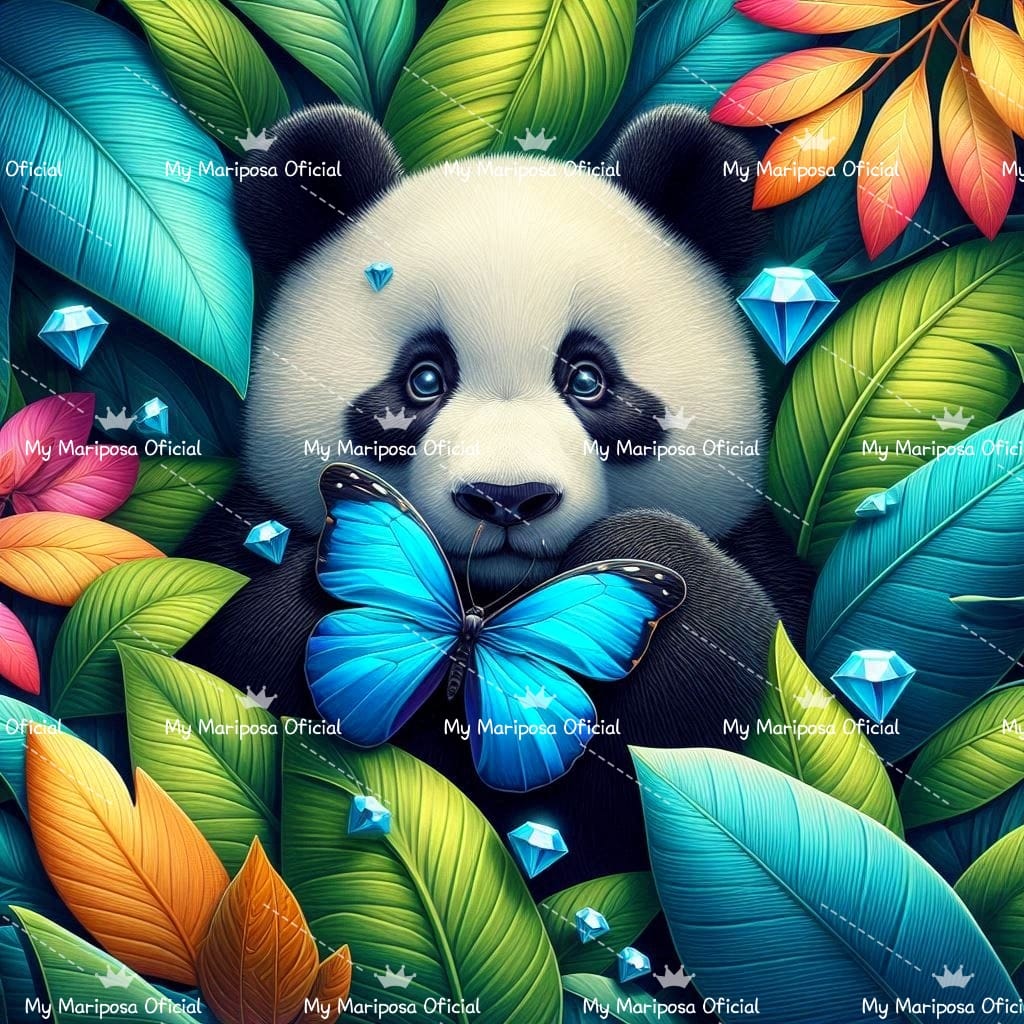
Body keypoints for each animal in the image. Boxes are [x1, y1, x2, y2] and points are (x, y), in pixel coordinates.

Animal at [180, 102, 815, 888]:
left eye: (587, 379)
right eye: (424, 379)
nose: (507, 498)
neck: (488, 593)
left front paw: (645, 559)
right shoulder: (240, 536)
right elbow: (248, 638)